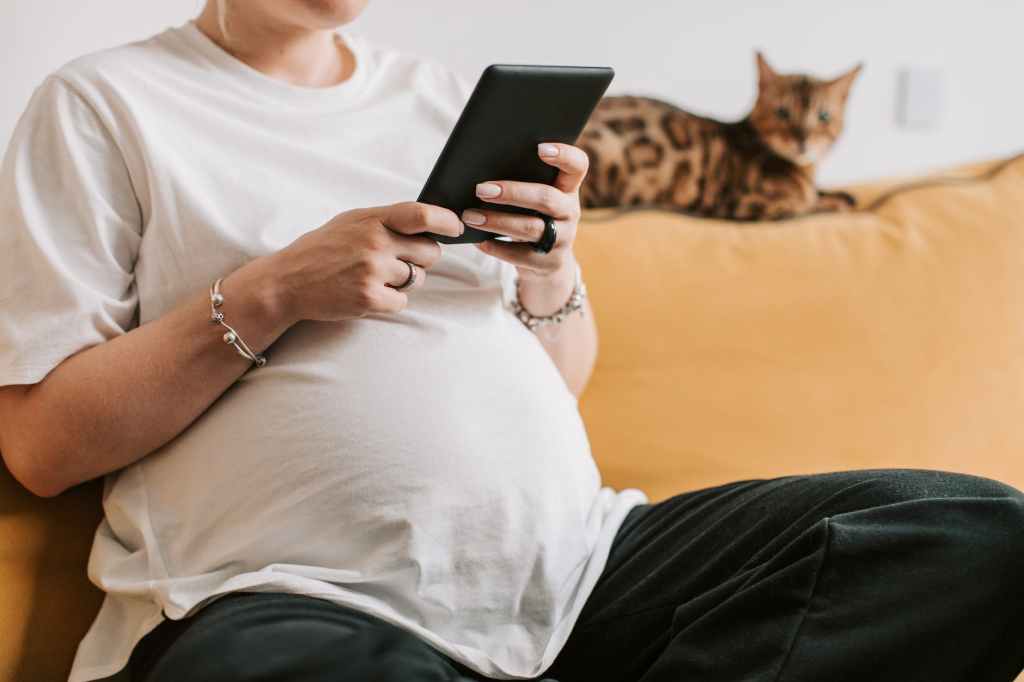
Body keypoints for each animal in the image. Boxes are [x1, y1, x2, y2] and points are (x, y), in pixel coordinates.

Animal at [581, 52, 860, 220]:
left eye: (823, 116)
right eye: (782, 112)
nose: (802, 140)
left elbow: (832, 195)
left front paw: (841, 195)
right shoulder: (747, 203)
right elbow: (809, 206)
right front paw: (833, 203)